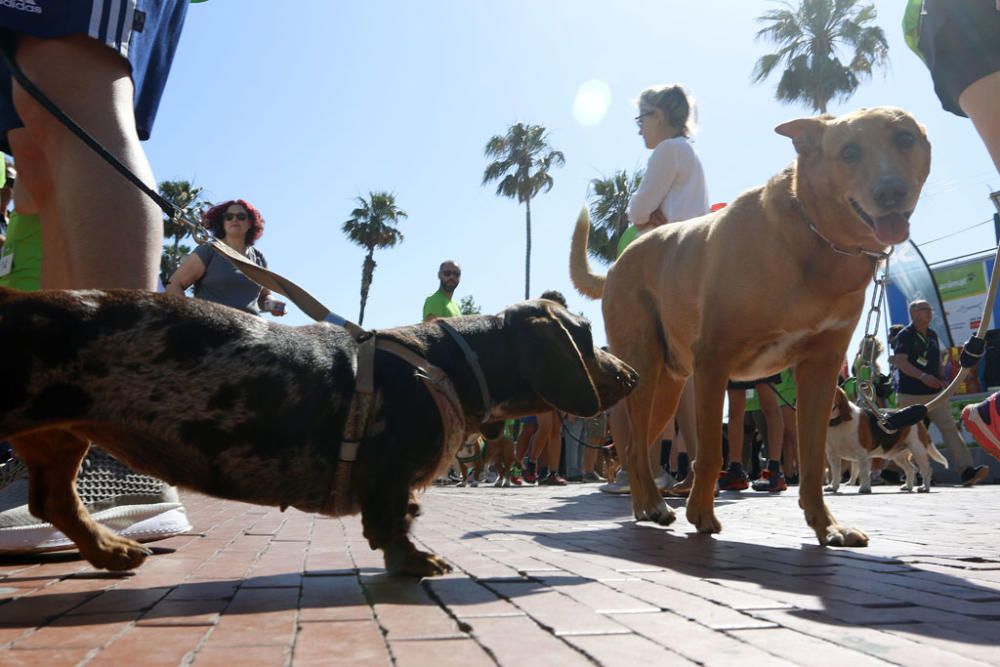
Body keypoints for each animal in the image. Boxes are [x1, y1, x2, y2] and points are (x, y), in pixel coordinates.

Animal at [0, 290, 636, 576]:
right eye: (586, 337)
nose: (631, 375)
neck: (449, 362)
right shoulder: (389, 474)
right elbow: (394, 522)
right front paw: (415, 561)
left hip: (62, 437)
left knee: (54, 502)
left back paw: (109, 549)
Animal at [576, 108, 932, 548]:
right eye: (849, 152)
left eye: (905, 139)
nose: (891, 192)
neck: (816, 240)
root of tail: (616, 264)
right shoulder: (713, 363)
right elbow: (710, 451)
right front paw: (701, 513)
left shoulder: (819, 372)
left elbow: (812, 460)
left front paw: (826, 525)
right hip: (646, 372)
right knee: (636, 446)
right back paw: (655, 505)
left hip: (668, 387)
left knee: (635, 448)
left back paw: (646, 505)